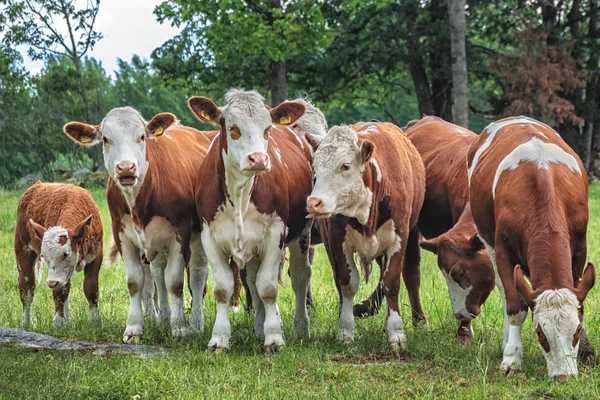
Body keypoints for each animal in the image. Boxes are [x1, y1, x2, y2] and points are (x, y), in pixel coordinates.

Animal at [14, 183, 103, 326]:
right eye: (44, 256)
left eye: (66, 254)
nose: (51, 283)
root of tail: (37, 185)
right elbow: (58, 291)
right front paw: (58, 322)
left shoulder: (96, 256)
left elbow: (91, 288)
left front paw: (95, 322)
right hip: (22, 249)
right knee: (27, 287)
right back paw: (27, 323)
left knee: (65, 285)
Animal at [63, 108, 212, 344]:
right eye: (105, 139)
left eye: (142, 136)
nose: (126, 168)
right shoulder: (122, 235)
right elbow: (135, 282)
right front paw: (134, 328)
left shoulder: (180, 235)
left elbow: (175, 283)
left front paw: (179, 327)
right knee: (158, 274)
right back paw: (162, 318)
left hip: (198, 236)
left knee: (197, 274)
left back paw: (196, 323)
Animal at [189, 89, 314, 352]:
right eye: (233, 129)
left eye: (267, 129)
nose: (258, 159)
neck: (240, 194)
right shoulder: (209, 236)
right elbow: (224, 289)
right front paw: (219, 338)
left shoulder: (276, 233)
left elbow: (267, 288)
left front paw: (274, 337)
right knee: (253, 278)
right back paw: (259, 327)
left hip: (301, 234)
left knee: (300, 277)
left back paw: (301, 327)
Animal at [304, 122, 426, 354]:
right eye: (314, 167)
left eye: (345, 166)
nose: (314, 202)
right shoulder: (337, 241)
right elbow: (346, 283)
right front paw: (345, 330)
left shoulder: (398, 239)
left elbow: (391, 282)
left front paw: (396, 333)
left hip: (412, 233)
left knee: (411, 275)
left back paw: (419, 321)